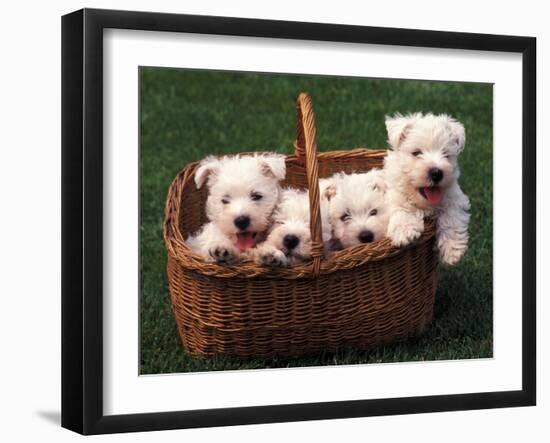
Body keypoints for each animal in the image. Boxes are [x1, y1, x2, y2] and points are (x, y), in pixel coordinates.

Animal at [384, 114, 474, 266]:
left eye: (446, 154)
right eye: (416, 153)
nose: (437, 173)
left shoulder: (454, 197)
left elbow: (451, 218)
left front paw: (452, 251)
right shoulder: (395, 194)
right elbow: (402, 208)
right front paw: (405, 232)